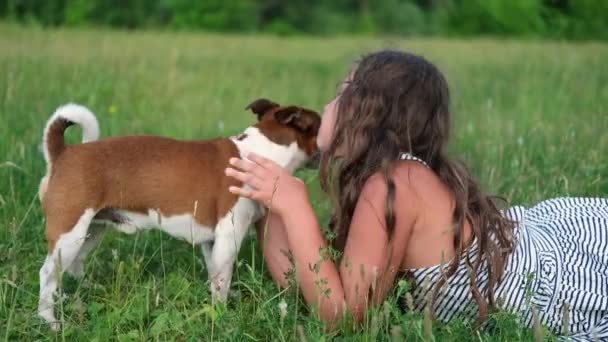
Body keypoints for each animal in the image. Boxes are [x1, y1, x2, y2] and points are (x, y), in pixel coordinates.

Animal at [36, 99, 324, 328]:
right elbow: (222, 280)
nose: (325, 150)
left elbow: (215, 275)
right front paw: (221, 316)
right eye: (320, 127)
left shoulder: (213, 242)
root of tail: (63, 153)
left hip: (90, 231)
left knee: (73, 266)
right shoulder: (228, 237)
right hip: (69, 232)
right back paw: (49, 320)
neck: (258, 153)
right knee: (48, 274)